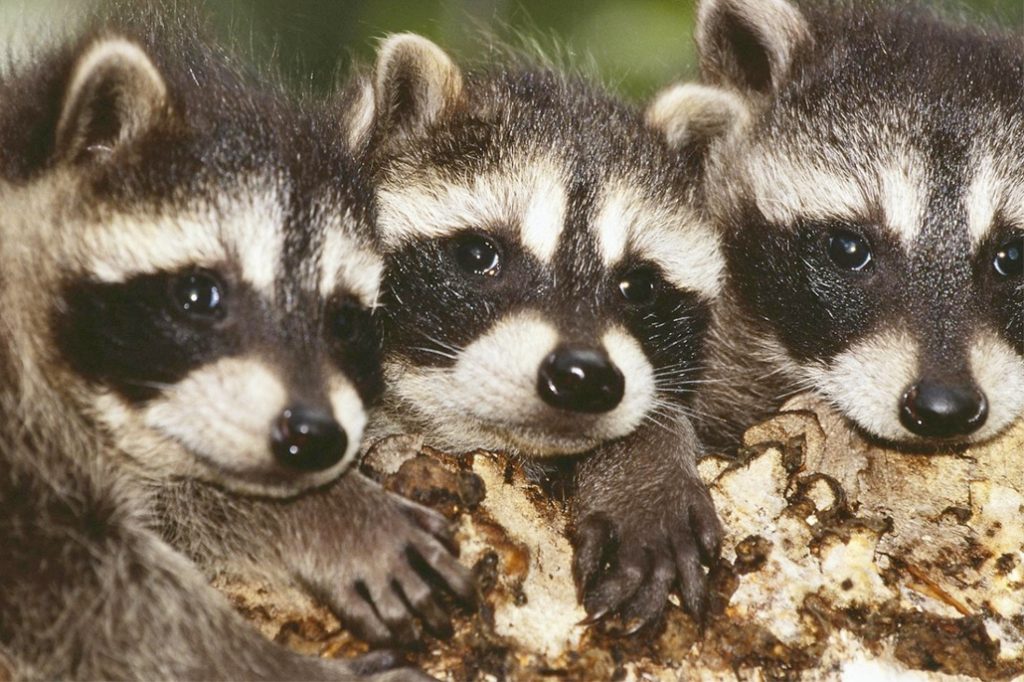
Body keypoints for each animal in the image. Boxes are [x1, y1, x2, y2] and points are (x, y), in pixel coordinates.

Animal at [0, 17, 469, 678]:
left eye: (345, 321)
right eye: (200, 295)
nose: (315, 436)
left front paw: (322, 511)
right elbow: (92, 599)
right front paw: (266, 662)